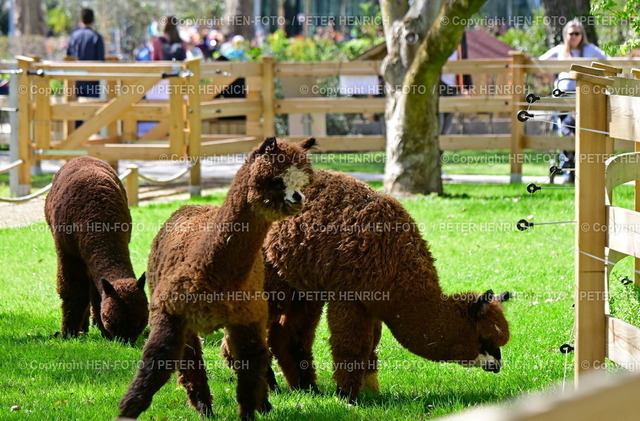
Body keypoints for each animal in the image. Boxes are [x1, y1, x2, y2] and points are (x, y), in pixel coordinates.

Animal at [44, 156, 148, 344]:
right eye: (111, 320)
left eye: (143, 319)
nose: (126, 341)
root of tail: (82, 157)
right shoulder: (68, 253)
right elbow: (72, 290)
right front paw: (67, 333)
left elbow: (95, 294)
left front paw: (101, 330)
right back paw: (82, 327)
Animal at [118, 137, 316, 420]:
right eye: (275, 179)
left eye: (303, 182)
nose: (298, 198)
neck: (214, 277)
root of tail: (192, 205)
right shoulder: (170, 312)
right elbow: (156, 364)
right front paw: (127, 410)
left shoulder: (247, 318)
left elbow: (250, 368)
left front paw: (251, 412)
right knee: (191, 360)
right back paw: (205, 408)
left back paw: (261, 405)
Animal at [259, 169, 511, 401]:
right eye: (485, 339)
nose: (497, 365)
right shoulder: (349, 296)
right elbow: (351, 346)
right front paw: (347, 397)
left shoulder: (371, 304)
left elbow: (371, 347)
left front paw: (370, 392)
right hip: (272, 278)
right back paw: (271, 386)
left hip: (302, 287)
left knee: (287, 335)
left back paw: (306, 388)